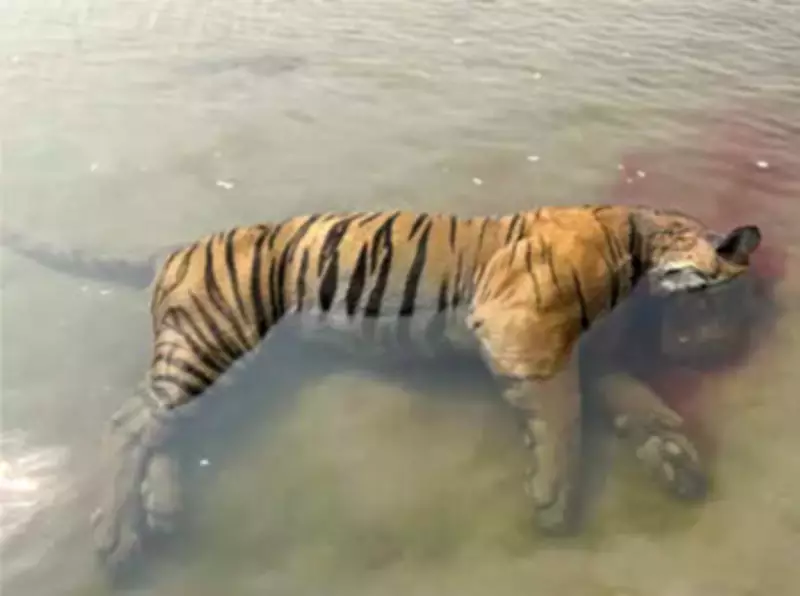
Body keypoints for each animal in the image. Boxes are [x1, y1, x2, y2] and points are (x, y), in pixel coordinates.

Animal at [0, 204, 762, 581]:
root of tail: (170, 249)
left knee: (165, 425)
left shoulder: (593, 356)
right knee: (130, 423)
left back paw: (162, 509)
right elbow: (563, 415)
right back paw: (117, 537)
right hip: (215, 343)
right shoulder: (525, 331)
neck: (642, 255)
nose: (720, 349)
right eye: (724, 298)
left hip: (230, 364)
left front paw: (677, 459)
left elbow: (637, 403)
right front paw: (553, 498)